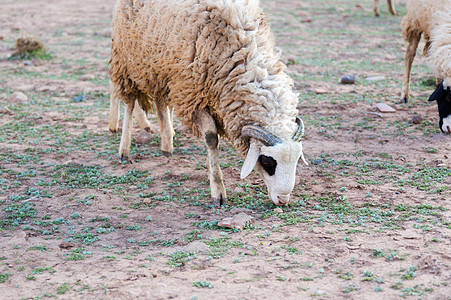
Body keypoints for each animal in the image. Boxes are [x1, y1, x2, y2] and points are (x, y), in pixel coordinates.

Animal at [107, 0, 308, 206]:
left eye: (297, 161)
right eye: (268, 161)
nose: (283, 200)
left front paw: (210, 170)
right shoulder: (194, 95)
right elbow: (211, 138)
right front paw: (217, 189)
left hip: (160, 67)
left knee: (161, 103)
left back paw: (167, 145)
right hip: (128, 60)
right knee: (130, 102)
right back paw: (124, 150)